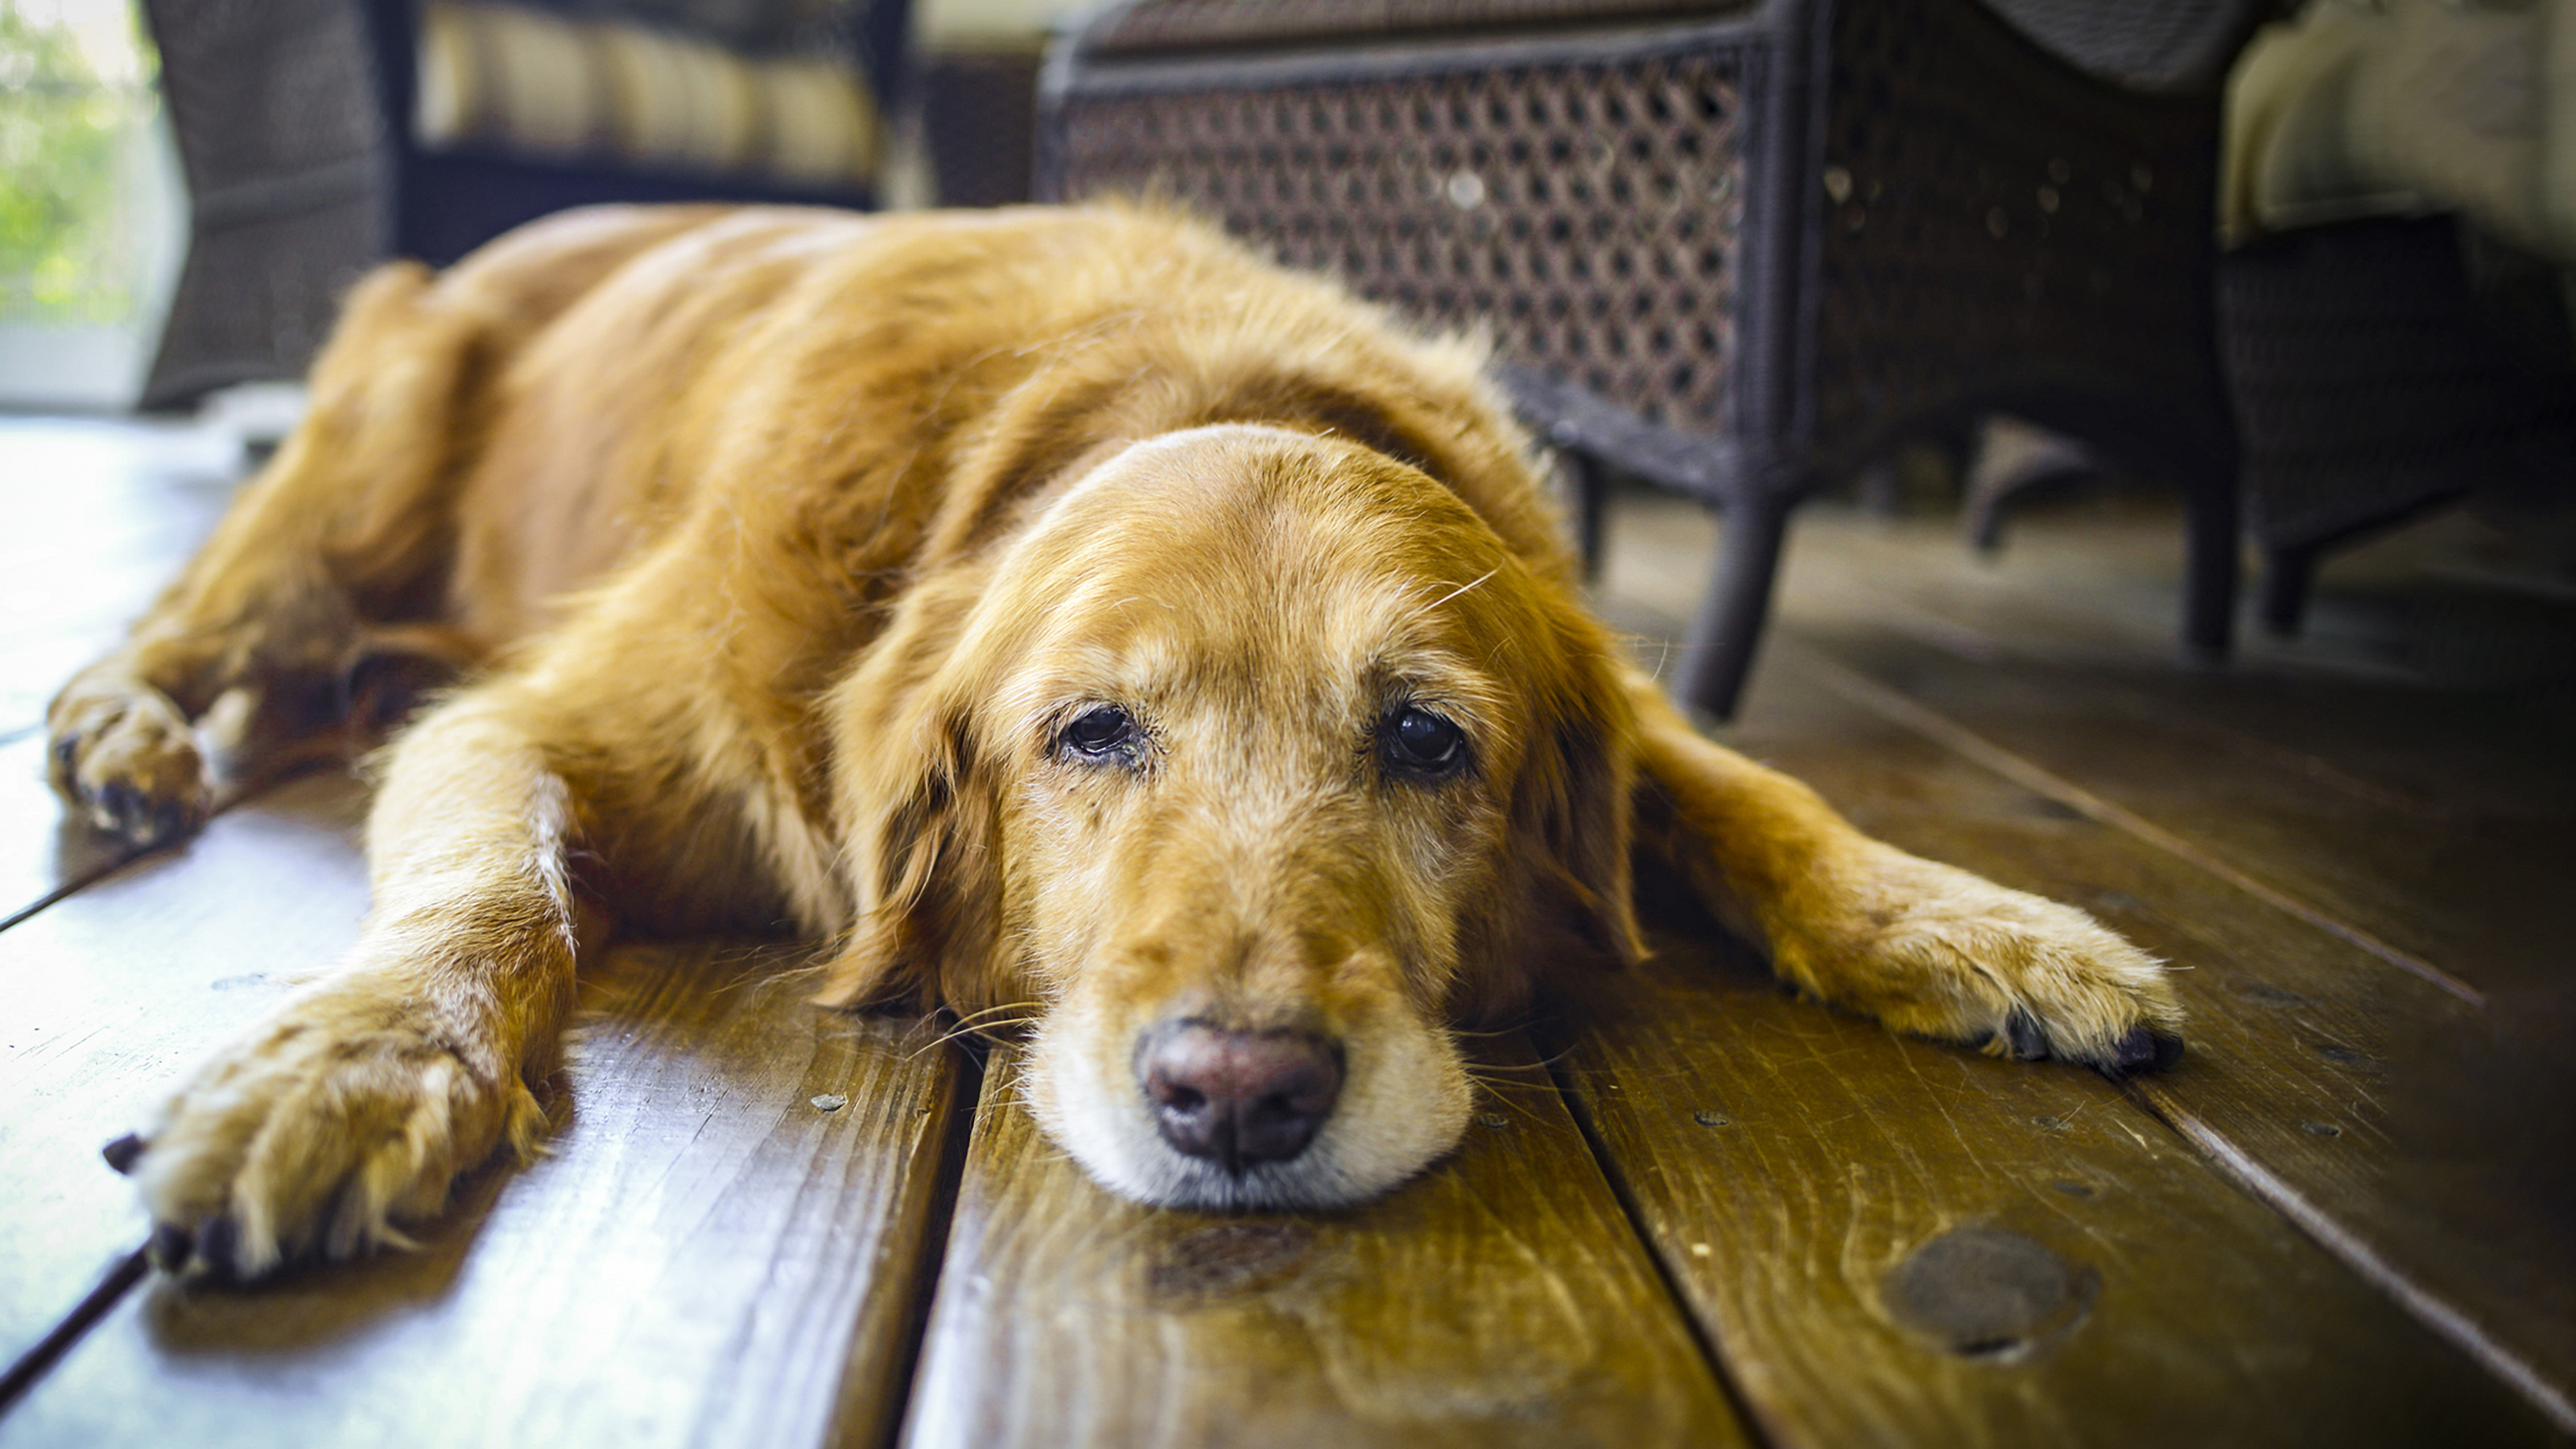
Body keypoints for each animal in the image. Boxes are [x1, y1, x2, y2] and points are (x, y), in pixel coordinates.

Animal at [45, 204, 2174, 1274]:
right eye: (1088, 733)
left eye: (1428, 744)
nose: (1240, 1098)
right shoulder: (533, 721)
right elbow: (491, 894)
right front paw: (355, 1066)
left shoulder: (1612, 691)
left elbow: (1755, 793)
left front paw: (1985, 927)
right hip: (368, 438)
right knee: (211, 613)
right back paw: (124, 727)